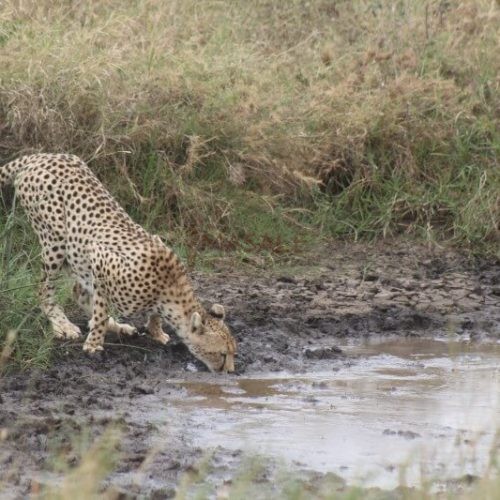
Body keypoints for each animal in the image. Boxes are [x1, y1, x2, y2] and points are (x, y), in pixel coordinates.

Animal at [0, 154, 236, 374]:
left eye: (233, 352)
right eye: (222, 354)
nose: (230, 372)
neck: (168, 288)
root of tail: (42, 156)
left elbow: (139, 314)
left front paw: (156, 331)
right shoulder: (100, 259)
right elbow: (100, 312)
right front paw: (94, 344)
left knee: (78, 291)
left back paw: (121, 327)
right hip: (55, 241)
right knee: (44, 289)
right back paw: (62, 325)